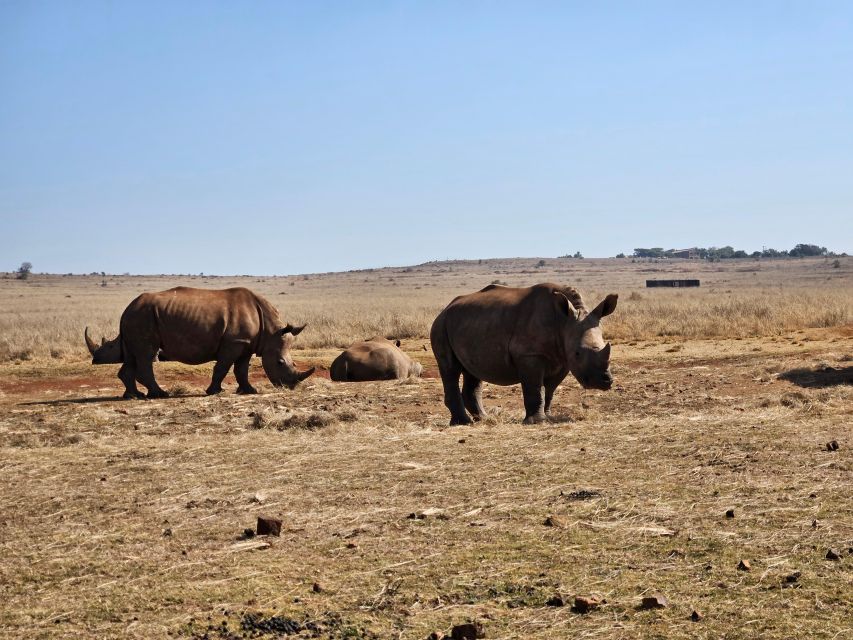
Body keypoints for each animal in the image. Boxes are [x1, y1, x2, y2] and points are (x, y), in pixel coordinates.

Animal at [87, 286, 312, 398]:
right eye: (280, 363)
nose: (290, 387)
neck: (271, 332)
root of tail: (126, 309)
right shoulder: (234, 342)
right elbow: (223, 367)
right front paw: (214, 391)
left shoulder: (246, 343)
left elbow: (241, 369)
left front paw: (248, 391)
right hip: (142, 317)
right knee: (146, 354)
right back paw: (160, 394)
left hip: (138, 317)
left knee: (135, 355)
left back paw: (134, 396)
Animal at [430, 284, 616, 424]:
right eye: (577, 353)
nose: (604, 381)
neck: (563, 322)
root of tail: (446, 308)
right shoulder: (529, 354)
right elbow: (535, 387)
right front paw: (537, 421)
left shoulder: (563, 358)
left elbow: (550, 390)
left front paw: (549, 417)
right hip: (440, 326)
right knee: (450, 369)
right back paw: (463, 422)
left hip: (470, 325)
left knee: (473, 372)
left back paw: (484, 419)